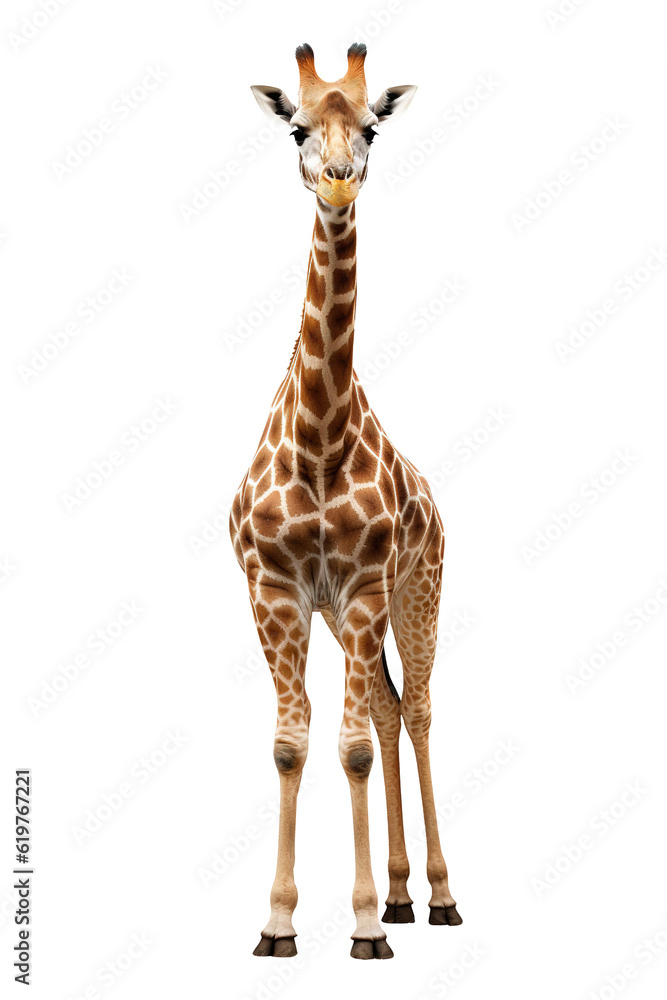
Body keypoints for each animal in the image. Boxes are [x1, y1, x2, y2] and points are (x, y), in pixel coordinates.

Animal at [229, 42, 462, 961]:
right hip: (340, 612)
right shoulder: (278, 591)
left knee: (419, 709)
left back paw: (436, 897)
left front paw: (360, 926)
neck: (318, 439)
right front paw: (278, 923)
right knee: (393, 708)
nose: (335, 181)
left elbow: (353, 748)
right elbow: (291, 746)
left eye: (371, 128)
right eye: (297, 126)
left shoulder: (364, 587)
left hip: (418, 589)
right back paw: (401, 896)